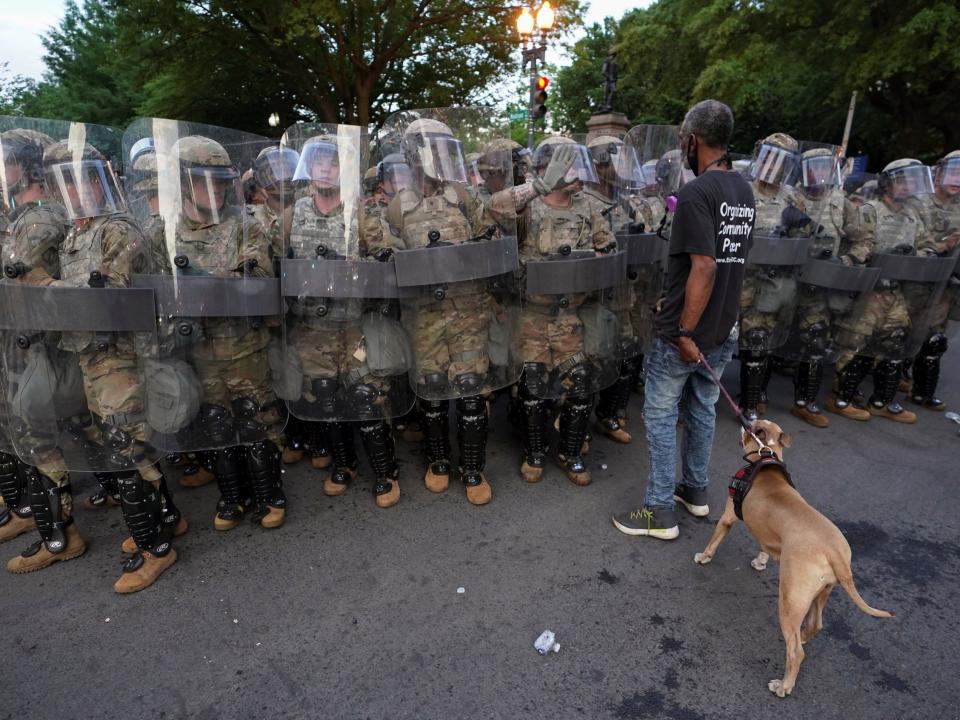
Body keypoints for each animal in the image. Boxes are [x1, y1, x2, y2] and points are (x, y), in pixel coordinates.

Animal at [688, 420, 892, 696]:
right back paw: (804, 636)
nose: (746, 420)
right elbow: (764, 545)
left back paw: (783, 686)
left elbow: (715, 540)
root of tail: (835, 551)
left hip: (790, 600)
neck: (765, 454)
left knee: (796, 652)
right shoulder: (767, 533)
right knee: (815, 625)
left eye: (752, 425)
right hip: (820, 593)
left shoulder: (728, 516)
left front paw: (704, 556)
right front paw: (761, 561)